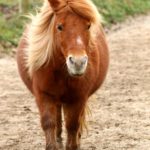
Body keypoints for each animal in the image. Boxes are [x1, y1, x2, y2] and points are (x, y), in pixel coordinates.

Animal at [16, 0, 109, 150]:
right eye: (59, 26)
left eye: (88, 26)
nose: (78, 62)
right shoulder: (44, 96)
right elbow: (49, 123)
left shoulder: (77, 99)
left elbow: (72, 127)